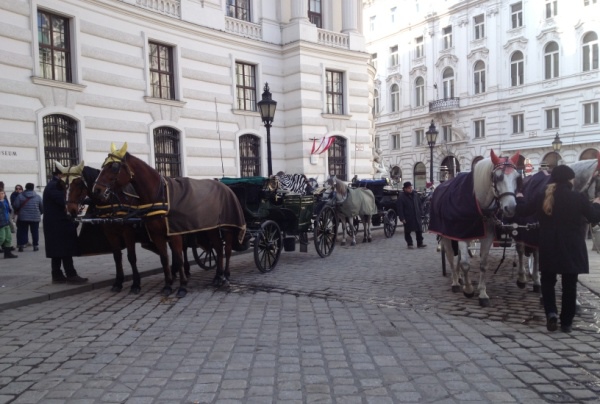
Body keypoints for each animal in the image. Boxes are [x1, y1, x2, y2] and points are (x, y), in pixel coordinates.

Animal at [91, 142, 246, 296]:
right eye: (103, 165)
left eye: (114, 167)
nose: (97, 190)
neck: (159, 195)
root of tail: (224, 185)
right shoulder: (157, 234)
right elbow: (164, 258)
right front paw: (167, 285)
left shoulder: (173, 233)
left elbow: (178, 257)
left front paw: (182, 286)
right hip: (211, 228)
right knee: (218, 248)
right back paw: (218, 276)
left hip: (227, 226)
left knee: (227, 250)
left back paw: (226, 275)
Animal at [432, 151, 520, 306]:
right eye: (497, 177)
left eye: (517, 177)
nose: (510, 208)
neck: (478, 204)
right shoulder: (461, 235)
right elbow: (465, 264)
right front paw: (468, 290)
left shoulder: (487, 237)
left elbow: (483, 264)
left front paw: (483, 293)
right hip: (446, 236)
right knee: (451, 257)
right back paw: (455, 282)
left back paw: (460, 277)